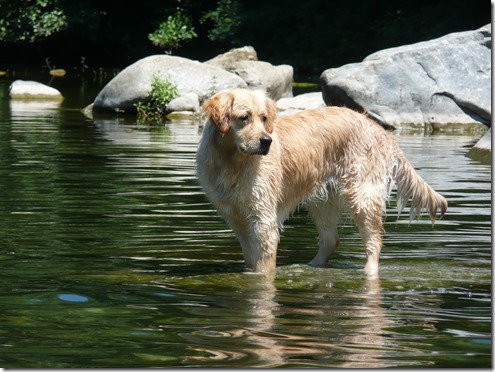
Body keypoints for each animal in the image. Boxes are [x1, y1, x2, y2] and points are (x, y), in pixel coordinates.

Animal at [197, 89, 450, 276]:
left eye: (264, 118)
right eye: (244, 117)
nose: (266, 141)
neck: (231, 163)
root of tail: (379, 129)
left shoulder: (263, 219)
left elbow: (263, 264)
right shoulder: (237, 217)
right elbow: (250, 256)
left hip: (361, 195)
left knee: (374, 239)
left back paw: (368, 270)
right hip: (323, 199)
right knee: (331, 240)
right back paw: (310, 266)